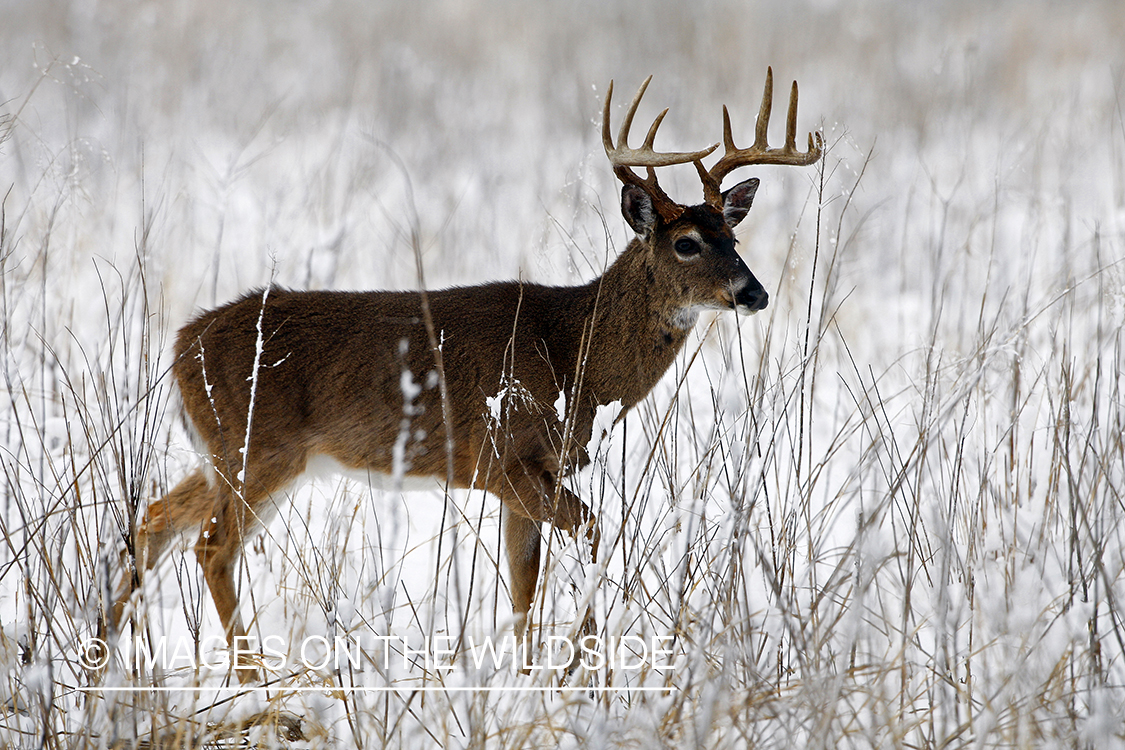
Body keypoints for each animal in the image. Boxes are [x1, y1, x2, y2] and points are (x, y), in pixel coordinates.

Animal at [109, 67, 823, 683]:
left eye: (734, 238)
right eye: (686, 244)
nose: (754, 292)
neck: (572, 355)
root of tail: (180, 344)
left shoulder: (522, 477)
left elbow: (524, 587)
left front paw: (531, 681)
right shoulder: (502, 458)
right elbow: (593, 537)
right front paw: (579, 670)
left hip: (227, 452)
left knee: (153, 520)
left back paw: (106, 657)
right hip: (260, 445)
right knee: (211, 546)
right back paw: (252, 681)